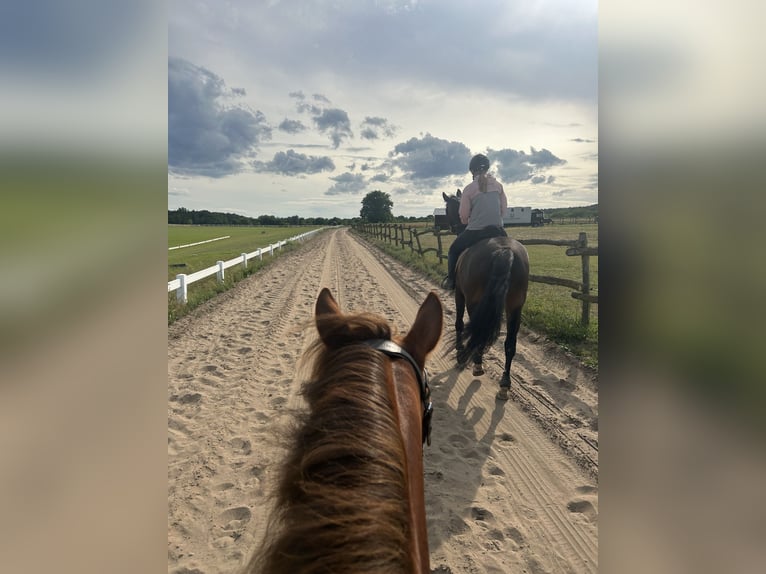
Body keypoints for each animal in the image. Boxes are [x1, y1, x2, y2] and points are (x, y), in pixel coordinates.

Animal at [442, 191, 530, 400]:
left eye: (448, 209)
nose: (449, 226)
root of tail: (505, 251)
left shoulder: (460, 294)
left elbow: (458, 323)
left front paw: (459, 352)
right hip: (515, 306)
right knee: (510, 343)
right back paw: (504, 384)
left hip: (473, 301)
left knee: (478, 331)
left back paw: (476, 363)